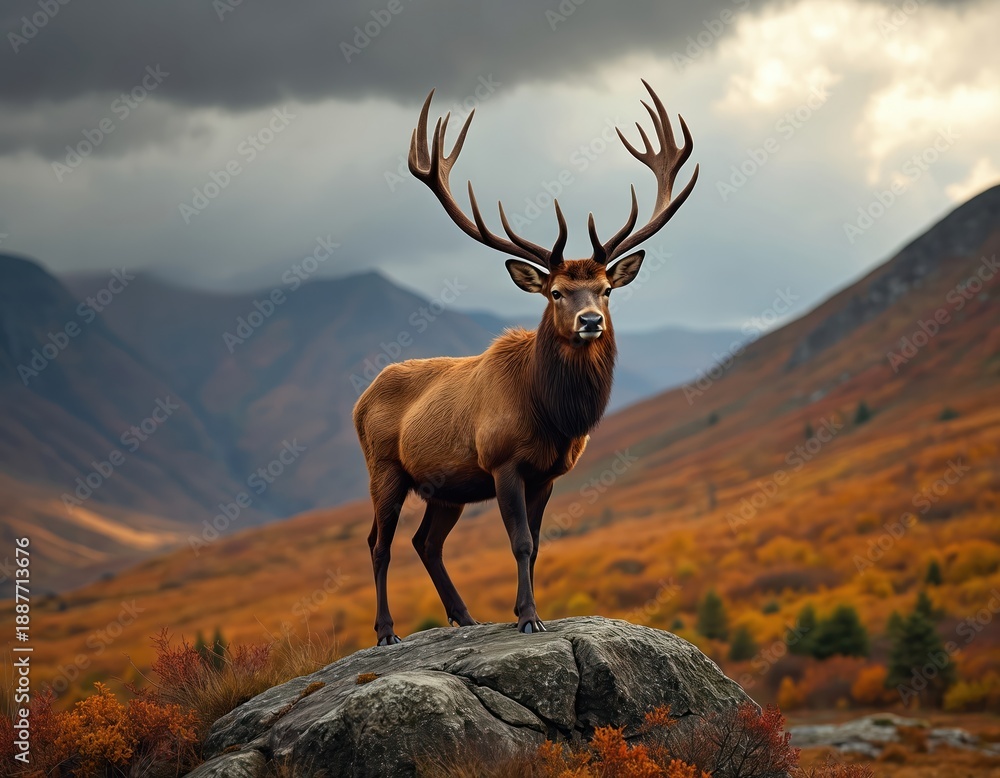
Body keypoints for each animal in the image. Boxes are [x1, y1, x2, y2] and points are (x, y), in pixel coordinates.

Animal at [353, 81, 698, 645]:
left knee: (425, 542)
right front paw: (529, 617)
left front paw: (528, 611)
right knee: (378, 543)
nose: (589, 321)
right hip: (384, 467)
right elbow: (518, 542)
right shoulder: (503, 462)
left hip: (445, 486)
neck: (552, 415)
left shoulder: (548, 474)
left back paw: (466, 617)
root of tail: (360, 400)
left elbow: (536, 545)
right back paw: (386, 631)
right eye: (556, 291)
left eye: (605, 289)